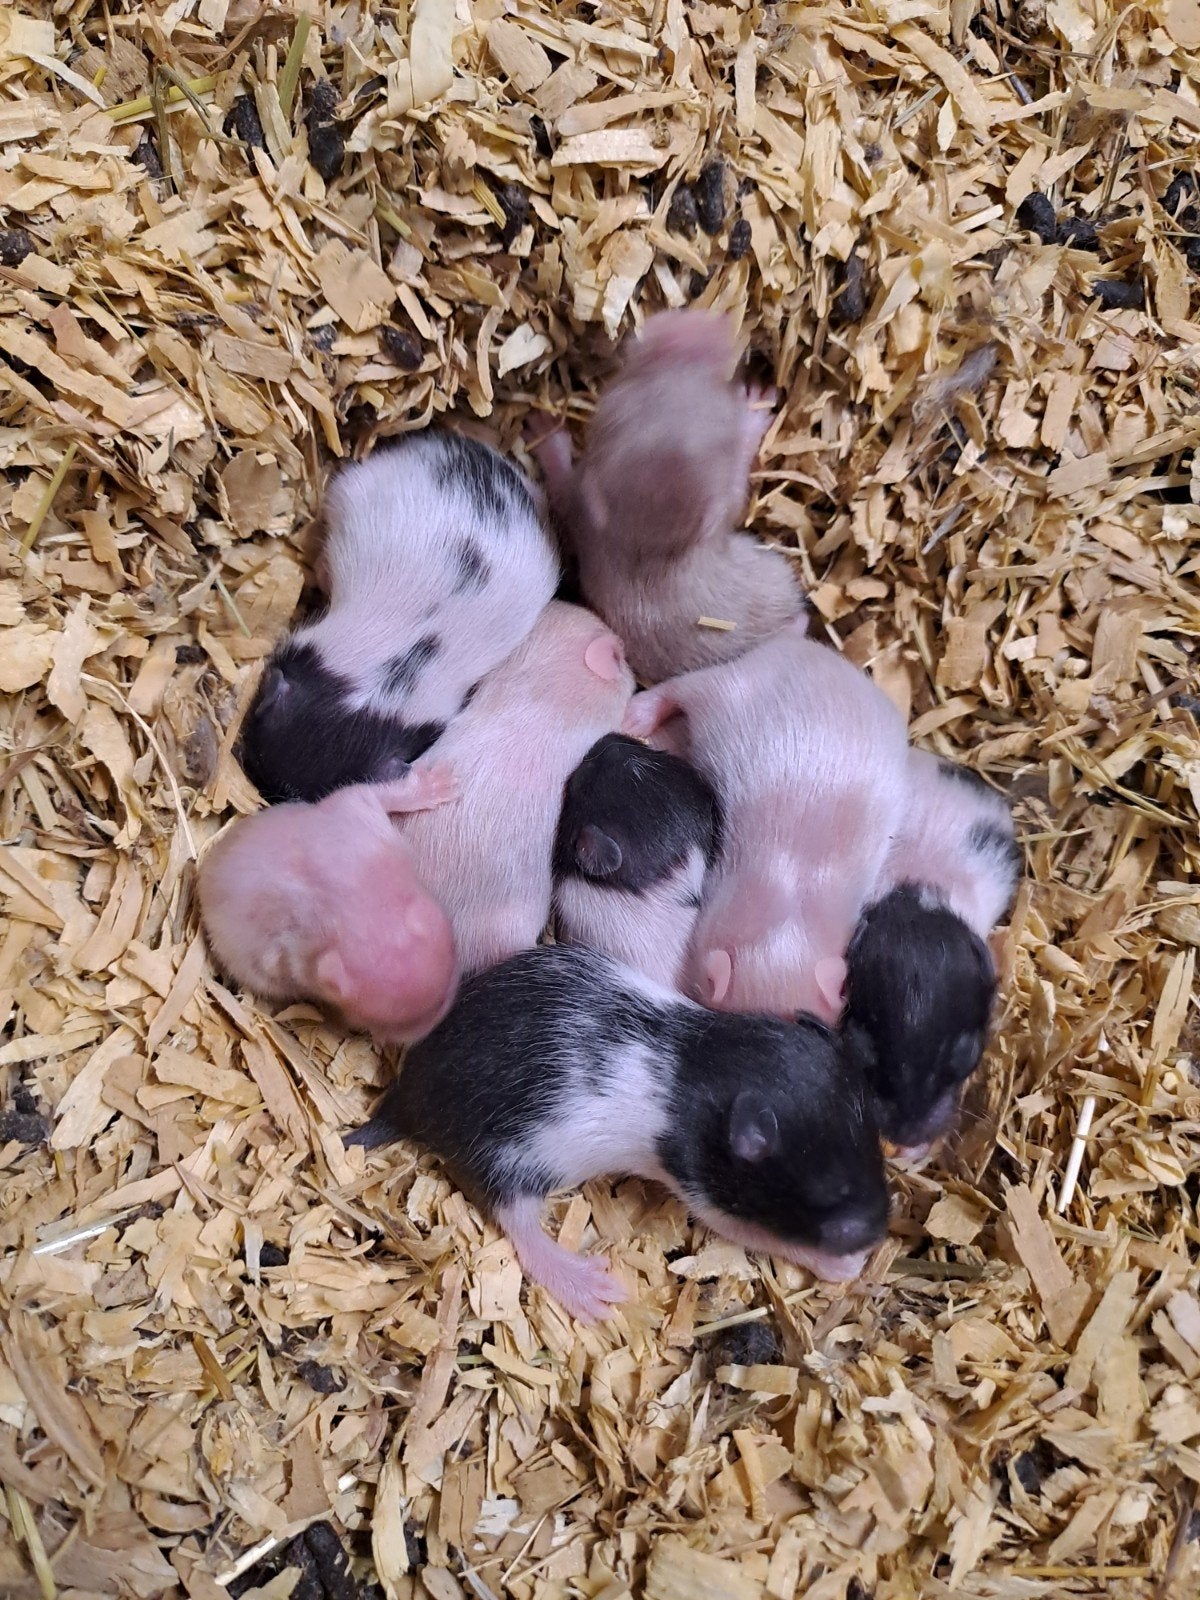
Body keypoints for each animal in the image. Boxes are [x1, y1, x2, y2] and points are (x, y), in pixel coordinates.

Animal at [198, 768, 459, 1042]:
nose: (425, 1032)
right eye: (389, 1024)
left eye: (447, 994)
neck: (356, 906)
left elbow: (370, 793)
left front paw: (435, 785)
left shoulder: (362, 828)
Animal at [349, 944, 890, 1320]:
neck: (714, 1059)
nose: (880, 1231)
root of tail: (408, 1098)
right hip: (510, 1156)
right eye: (827, 1196)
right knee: (516, 1221)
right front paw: (843, 1265)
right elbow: (750, 1232)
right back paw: (584, 1285)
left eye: (872, 1147)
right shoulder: (701, 1185)